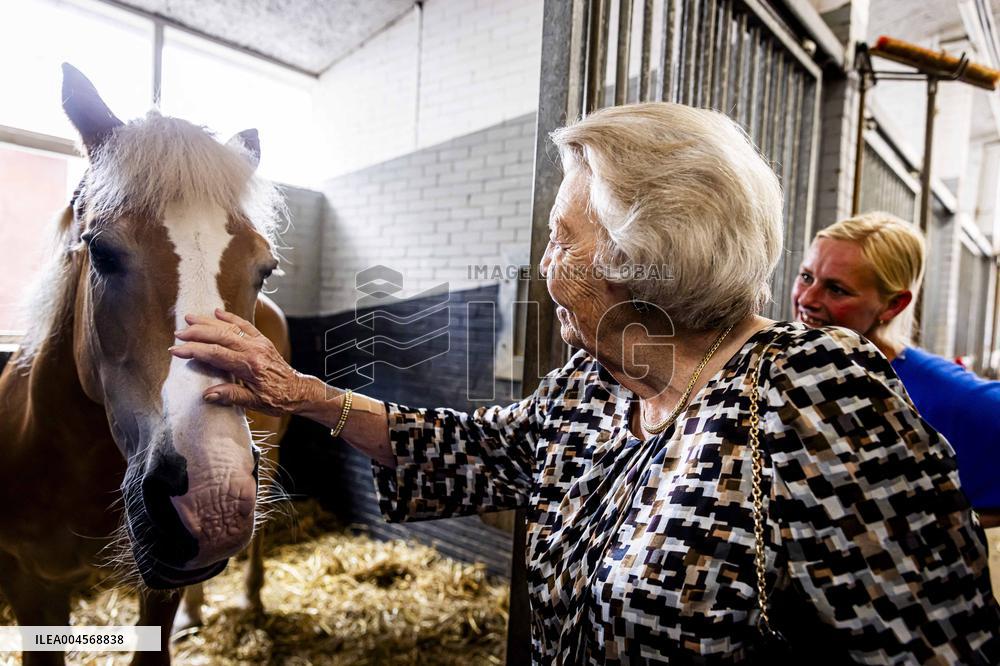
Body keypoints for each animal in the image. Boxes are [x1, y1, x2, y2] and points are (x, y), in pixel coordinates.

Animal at [0, 63, 289, 665]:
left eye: (265, 268)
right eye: (102, 251)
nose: (213, 497)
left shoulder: (156, 590)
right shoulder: (29, 584)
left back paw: (250, 600)